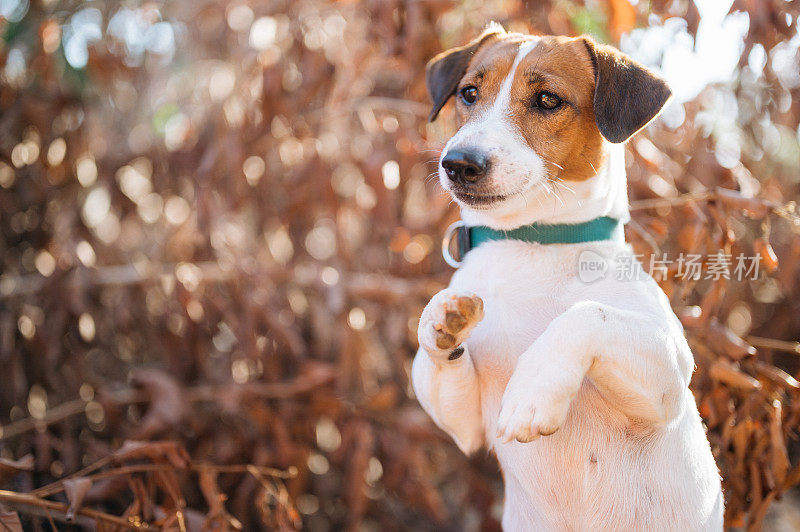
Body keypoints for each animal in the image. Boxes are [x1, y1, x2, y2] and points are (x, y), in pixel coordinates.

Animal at [412, 22, 724, 528]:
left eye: (547, 100)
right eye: (469, 93)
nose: (458, 163)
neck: (534, 244)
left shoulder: (668, 377)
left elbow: (586, 314)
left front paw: (533, 390)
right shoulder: (468, 427)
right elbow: (432, 357)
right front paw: (443, 317)